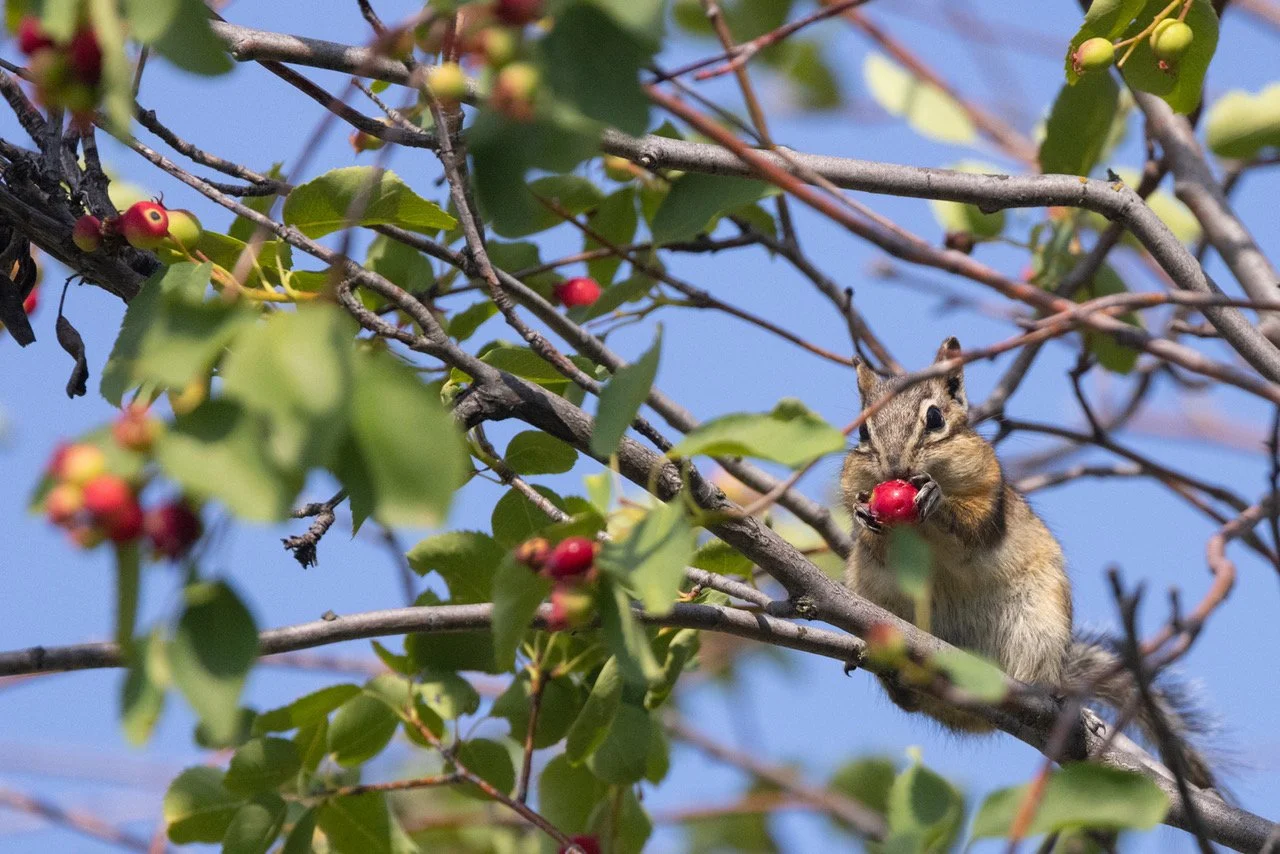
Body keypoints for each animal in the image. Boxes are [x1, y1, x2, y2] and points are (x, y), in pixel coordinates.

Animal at [841, 336, 1215, 789]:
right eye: (862, 430)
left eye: (934, 418)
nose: (895, 468)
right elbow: (869, 538)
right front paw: (864, 515)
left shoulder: (990, 492)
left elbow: (973, 526)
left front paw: (937, 499)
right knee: (910, 702)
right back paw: (894, 680)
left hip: (1038, 628)